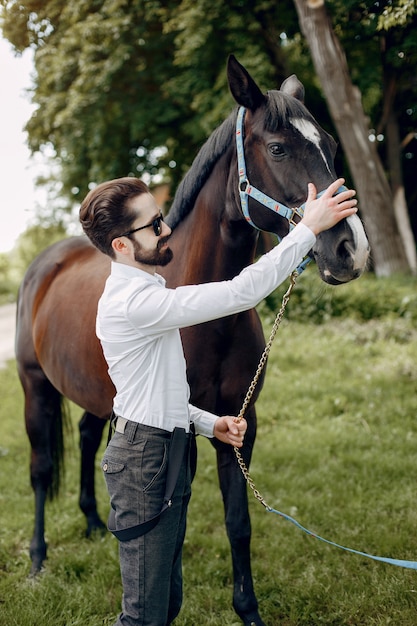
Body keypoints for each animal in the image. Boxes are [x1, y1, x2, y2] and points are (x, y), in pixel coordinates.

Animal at [15, 54, 368, 624]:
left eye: (332, 146)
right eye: (278, 148)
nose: (350, 250)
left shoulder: (240, 422)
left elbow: (238, 523)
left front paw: (248, 611)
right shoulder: (181, 429)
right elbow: (171, 533)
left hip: (96, 395)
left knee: (89, 440)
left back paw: (93, 524)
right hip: (35, 389)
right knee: (42, 471)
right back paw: (37, 560)